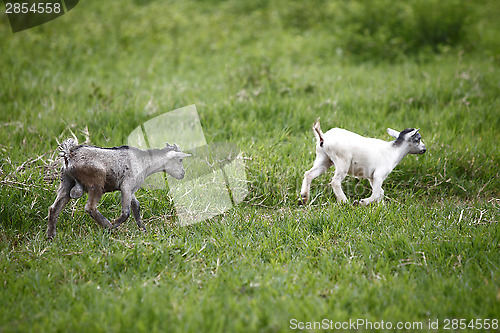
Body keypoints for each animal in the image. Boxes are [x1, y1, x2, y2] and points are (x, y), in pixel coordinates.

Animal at [46, 138, 190, 239]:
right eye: (180, 160)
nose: (183, 174)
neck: (145, 161)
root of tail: (69, 154)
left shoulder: (131, 189)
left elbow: (136, 206)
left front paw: (143, 229)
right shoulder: (126, 185)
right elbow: (126, 212)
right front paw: (115, 224)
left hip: (66, 181)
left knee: (54, 208)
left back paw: (50, 236)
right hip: (96, 183)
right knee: (90, 207)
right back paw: (109, 227)